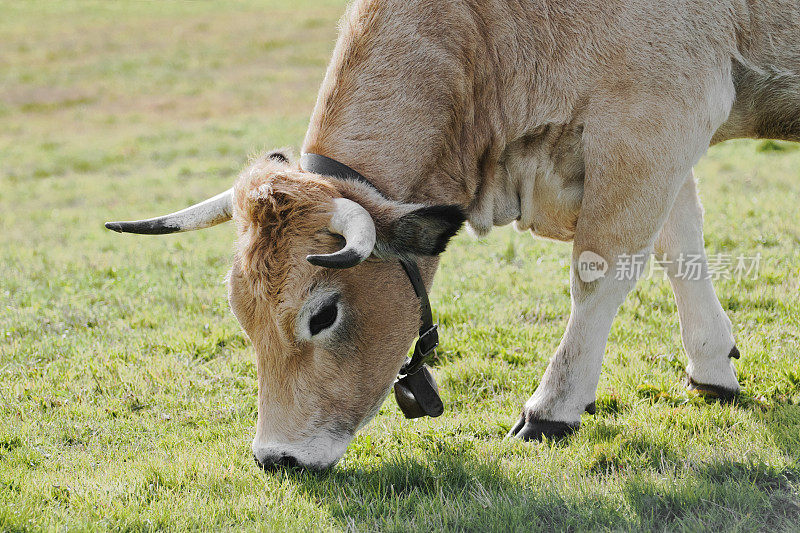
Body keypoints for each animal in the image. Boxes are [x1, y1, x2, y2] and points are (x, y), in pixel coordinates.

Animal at [104, 0, 800, 468]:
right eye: (240, 314)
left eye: (322, 315)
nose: (276, 459)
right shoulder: (659, 141)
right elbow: (680, 245)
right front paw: (712, 366)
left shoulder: (651, 120)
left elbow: (600, 272)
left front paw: (550, 410)